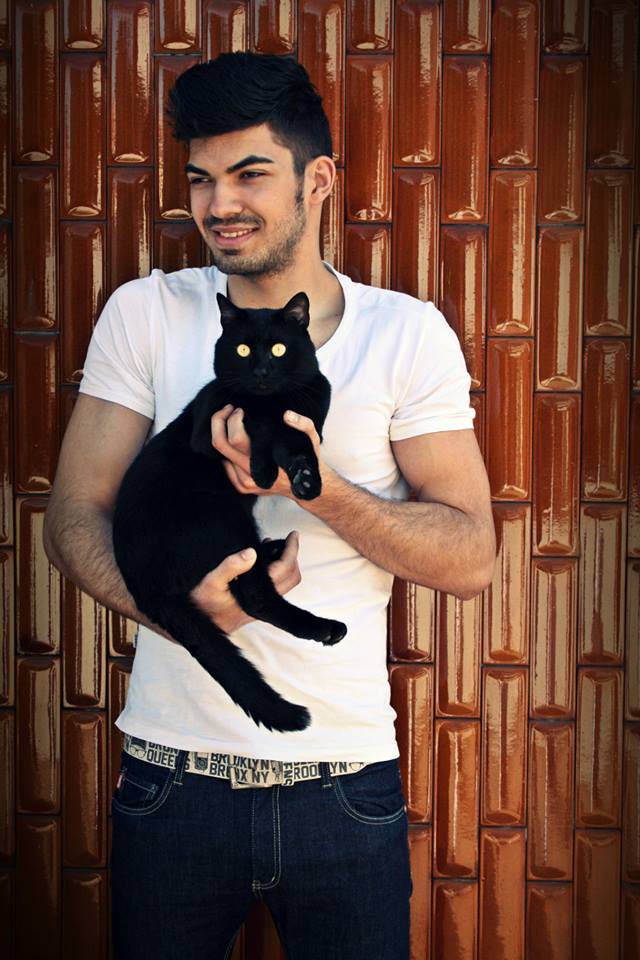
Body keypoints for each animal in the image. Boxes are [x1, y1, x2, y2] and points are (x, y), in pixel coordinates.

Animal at [112, 291, 347, 733]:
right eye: (242, 350)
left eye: (278, 349)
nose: (261, 371)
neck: (276, 397)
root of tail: (138, 581)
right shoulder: (210, 423)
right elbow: (261, 421)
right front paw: (264, 469)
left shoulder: (312, 407)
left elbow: (294, 436)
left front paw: (305, 478)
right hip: (222, 524)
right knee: (254, 596)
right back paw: (325, 627)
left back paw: (273, 550)